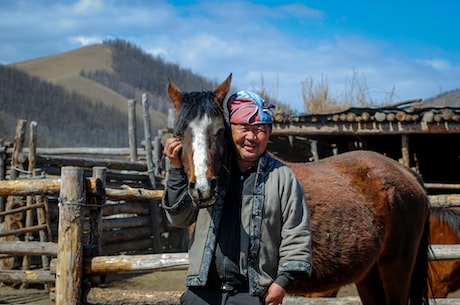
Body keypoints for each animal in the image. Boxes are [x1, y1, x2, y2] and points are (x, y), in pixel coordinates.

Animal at [165, 74, 432, 304]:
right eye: (179, 132)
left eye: (220, 131)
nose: (203, 189)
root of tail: (407, 174)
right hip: (369, 275)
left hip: (395, 270)